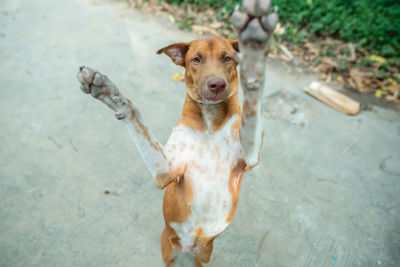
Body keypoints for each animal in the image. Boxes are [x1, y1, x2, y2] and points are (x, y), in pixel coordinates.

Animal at [77, 0, 278, 266]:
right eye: (196, 59)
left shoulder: (249, 154)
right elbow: (136, 119)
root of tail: (190, 246)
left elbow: (252, 108)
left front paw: (254, 47)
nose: (217, 85)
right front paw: (109, 93)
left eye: (227, 58)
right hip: (167, 248)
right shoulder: (167, 170)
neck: (209, 121)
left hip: (205, 254)